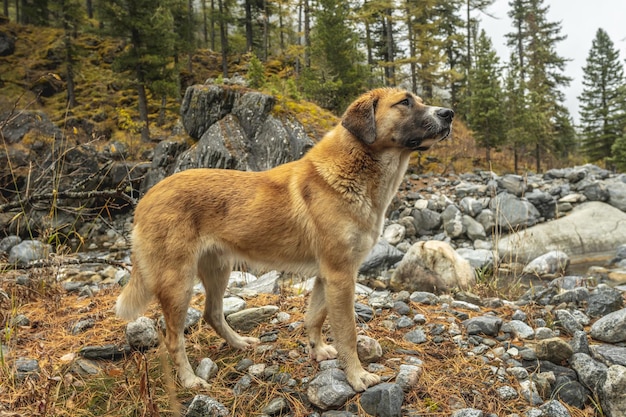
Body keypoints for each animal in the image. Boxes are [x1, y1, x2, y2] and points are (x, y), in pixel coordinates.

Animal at [114, 88, 450, 390]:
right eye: (404, 102)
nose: (449, 113)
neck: (356, 168)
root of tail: (145, 199)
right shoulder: (341, 275)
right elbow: (347, 333)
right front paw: (357, 376)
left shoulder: (326, 276)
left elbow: (315, 317)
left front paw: (318, 351)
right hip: (178, 282)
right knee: (173, 339)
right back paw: (189, 379)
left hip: (218, 268)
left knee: (213, 313)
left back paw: (239, 343)